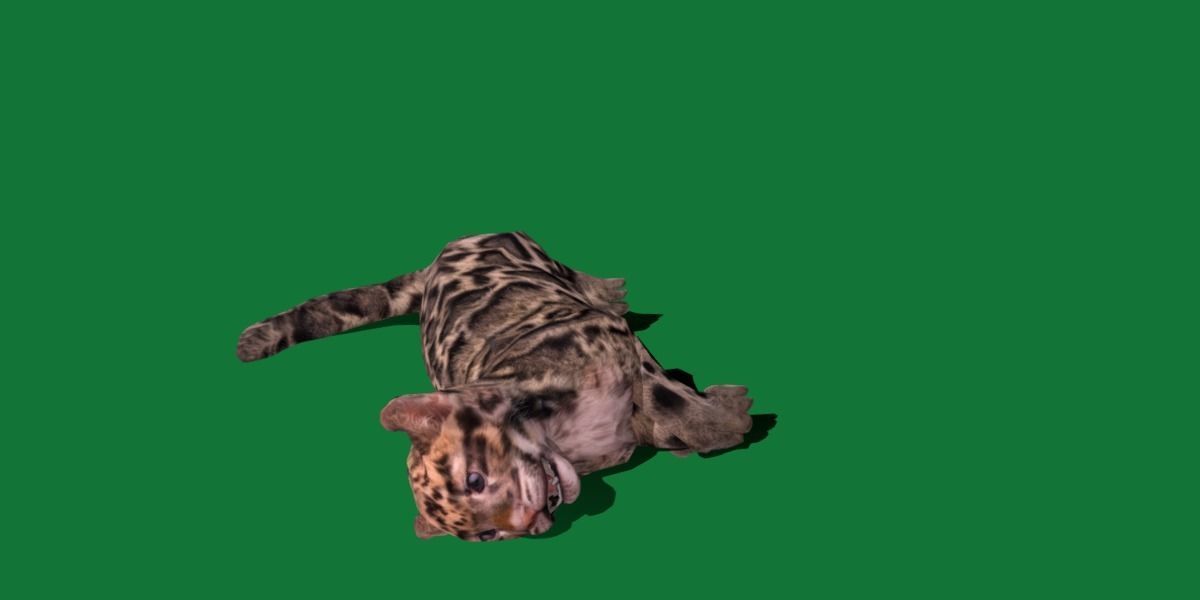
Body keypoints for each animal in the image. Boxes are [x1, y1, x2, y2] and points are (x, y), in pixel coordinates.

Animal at [236, 232, 753, 541]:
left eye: (476, 480)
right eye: (486, 536)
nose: (532, 523)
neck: (571, 439)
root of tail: (436, 260)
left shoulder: (604, 337)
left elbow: (664, 392)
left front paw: (722, 420)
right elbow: (659, 411)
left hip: (539, 259)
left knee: (574, 274)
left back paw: (607, 289)